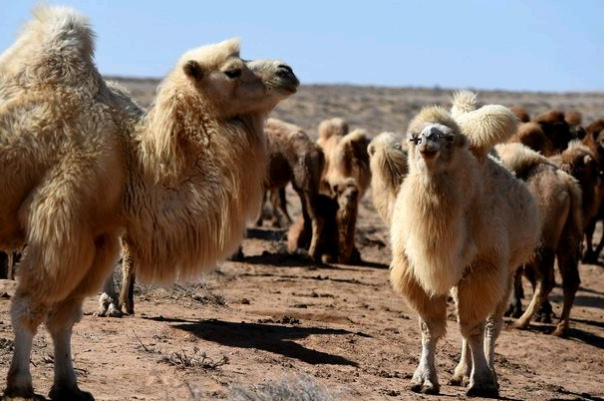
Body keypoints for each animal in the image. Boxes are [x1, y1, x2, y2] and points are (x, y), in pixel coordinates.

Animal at [0, 5, 300, 396]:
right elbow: (30, 307)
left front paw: (69, 387)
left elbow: (65, 318)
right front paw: (19, 383)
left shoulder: (97, 236)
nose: (287, 71)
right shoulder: (60, 227)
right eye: (233, 70)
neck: (130, 154)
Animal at [390, 91, 540, 396]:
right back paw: (460, 373)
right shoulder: (416, 272)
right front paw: (424, 379)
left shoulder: (485, 267)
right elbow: (430, 327)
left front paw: (482, 381)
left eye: (449, 138)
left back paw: (488, 373)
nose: (427, 141)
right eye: (414, 137)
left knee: (492, 324)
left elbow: (473, 326)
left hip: (506, 270)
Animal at [498, 142, 584, 336]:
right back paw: (560, 328)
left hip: (540, 242)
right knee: (571, 279)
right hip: (567, 239)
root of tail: (567, 185)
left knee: (545, 281)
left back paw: (521, 322)